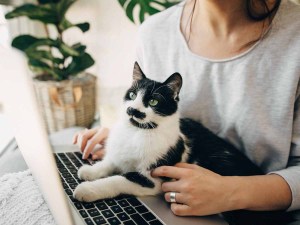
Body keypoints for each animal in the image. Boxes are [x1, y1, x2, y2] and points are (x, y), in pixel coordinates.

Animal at [74, 62, 292, 225]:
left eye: (153, 102)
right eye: (132, 95)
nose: (132, 110)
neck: (137, 131)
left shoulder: (153, 180)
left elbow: (119, 179)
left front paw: (87, 190)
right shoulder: (120, 152)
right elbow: (110, 162)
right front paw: (90, 171)